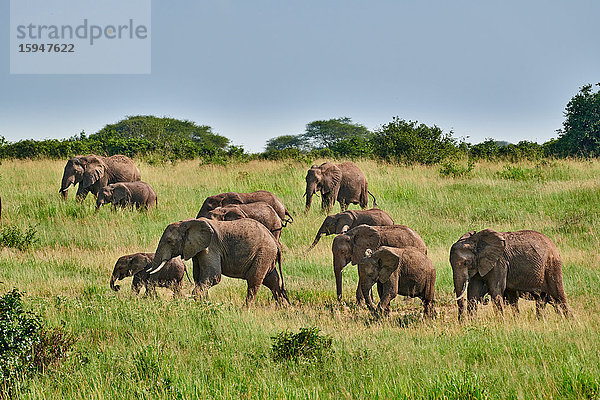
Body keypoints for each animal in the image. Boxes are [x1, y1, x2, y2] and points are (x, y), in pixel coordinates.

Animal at [150, 217, 290, 304]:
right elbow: (198, 277)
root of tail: (274, 240)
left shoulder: (211, 246)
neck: (187, 223)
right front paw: (204, 304)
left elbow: (213, 277)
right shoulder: (197, 250)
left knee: (253, 281)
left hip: (263, 253)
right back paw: (285, 309)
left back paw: (245, 310)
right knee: (273, 281)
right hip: (266, 255)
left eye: (169, 241)